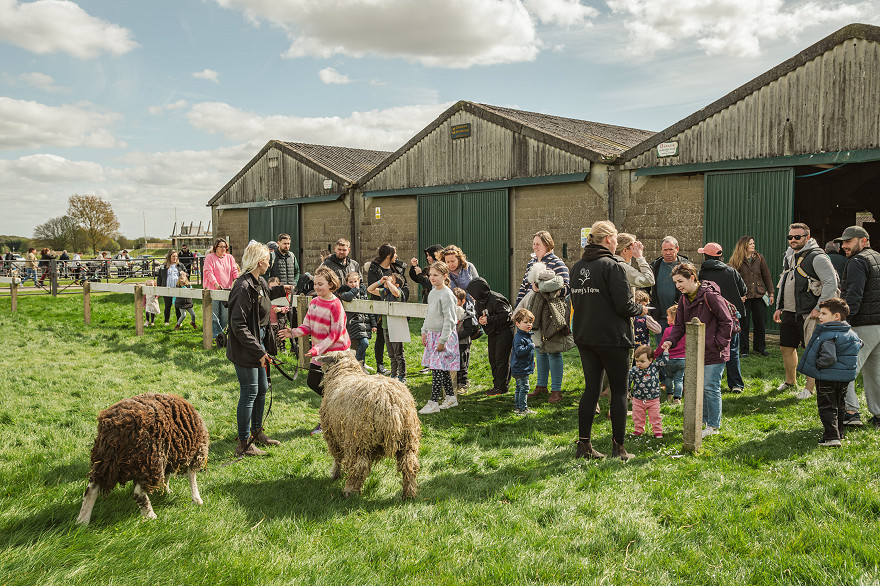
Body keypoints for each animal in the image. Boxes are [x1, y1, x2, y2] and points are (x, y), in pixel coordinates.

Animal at [75, 392, 210, 520]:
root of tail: (117, 427)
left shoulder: (169, 456)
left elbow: (167, 475)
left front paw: (166, 490)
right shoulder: (195, 453)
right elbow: (192, 477)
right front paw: (197, 499)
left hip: (104, 460)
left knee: (91, 489)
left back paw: (82, 521)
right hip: (149, 459)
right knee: (138, 493)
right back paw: (150, 516)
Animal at [316, 350, 422, 500]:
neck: (344, 372)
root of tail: (390, 403)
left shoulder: (333, 434)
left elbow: (337, 458)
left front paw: (335, 474)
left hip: (360, 440)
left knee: (360, 466)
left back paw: (349, 491)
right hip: (408, 439)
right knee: (409, 465)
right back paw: (409, 494)